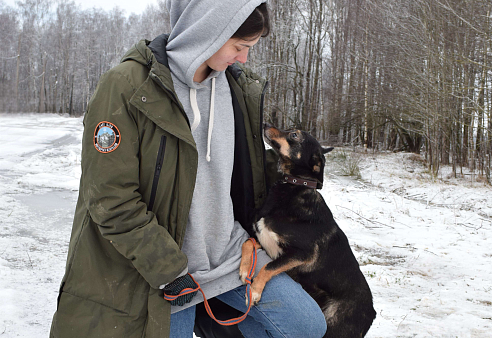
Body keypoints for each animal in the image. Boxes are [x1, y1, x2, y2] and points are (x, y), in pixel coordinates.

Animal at [240, 124, 374, 338]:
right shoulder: (264, 240)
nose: (265, 125)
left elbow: (268, 267)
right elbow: (247, 243)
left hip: (335, 328)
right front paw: (245, 269)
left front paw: (254, 292)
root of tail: (371, 313)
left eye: (294, 134)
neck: (292, 188)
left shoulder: (302, 254)